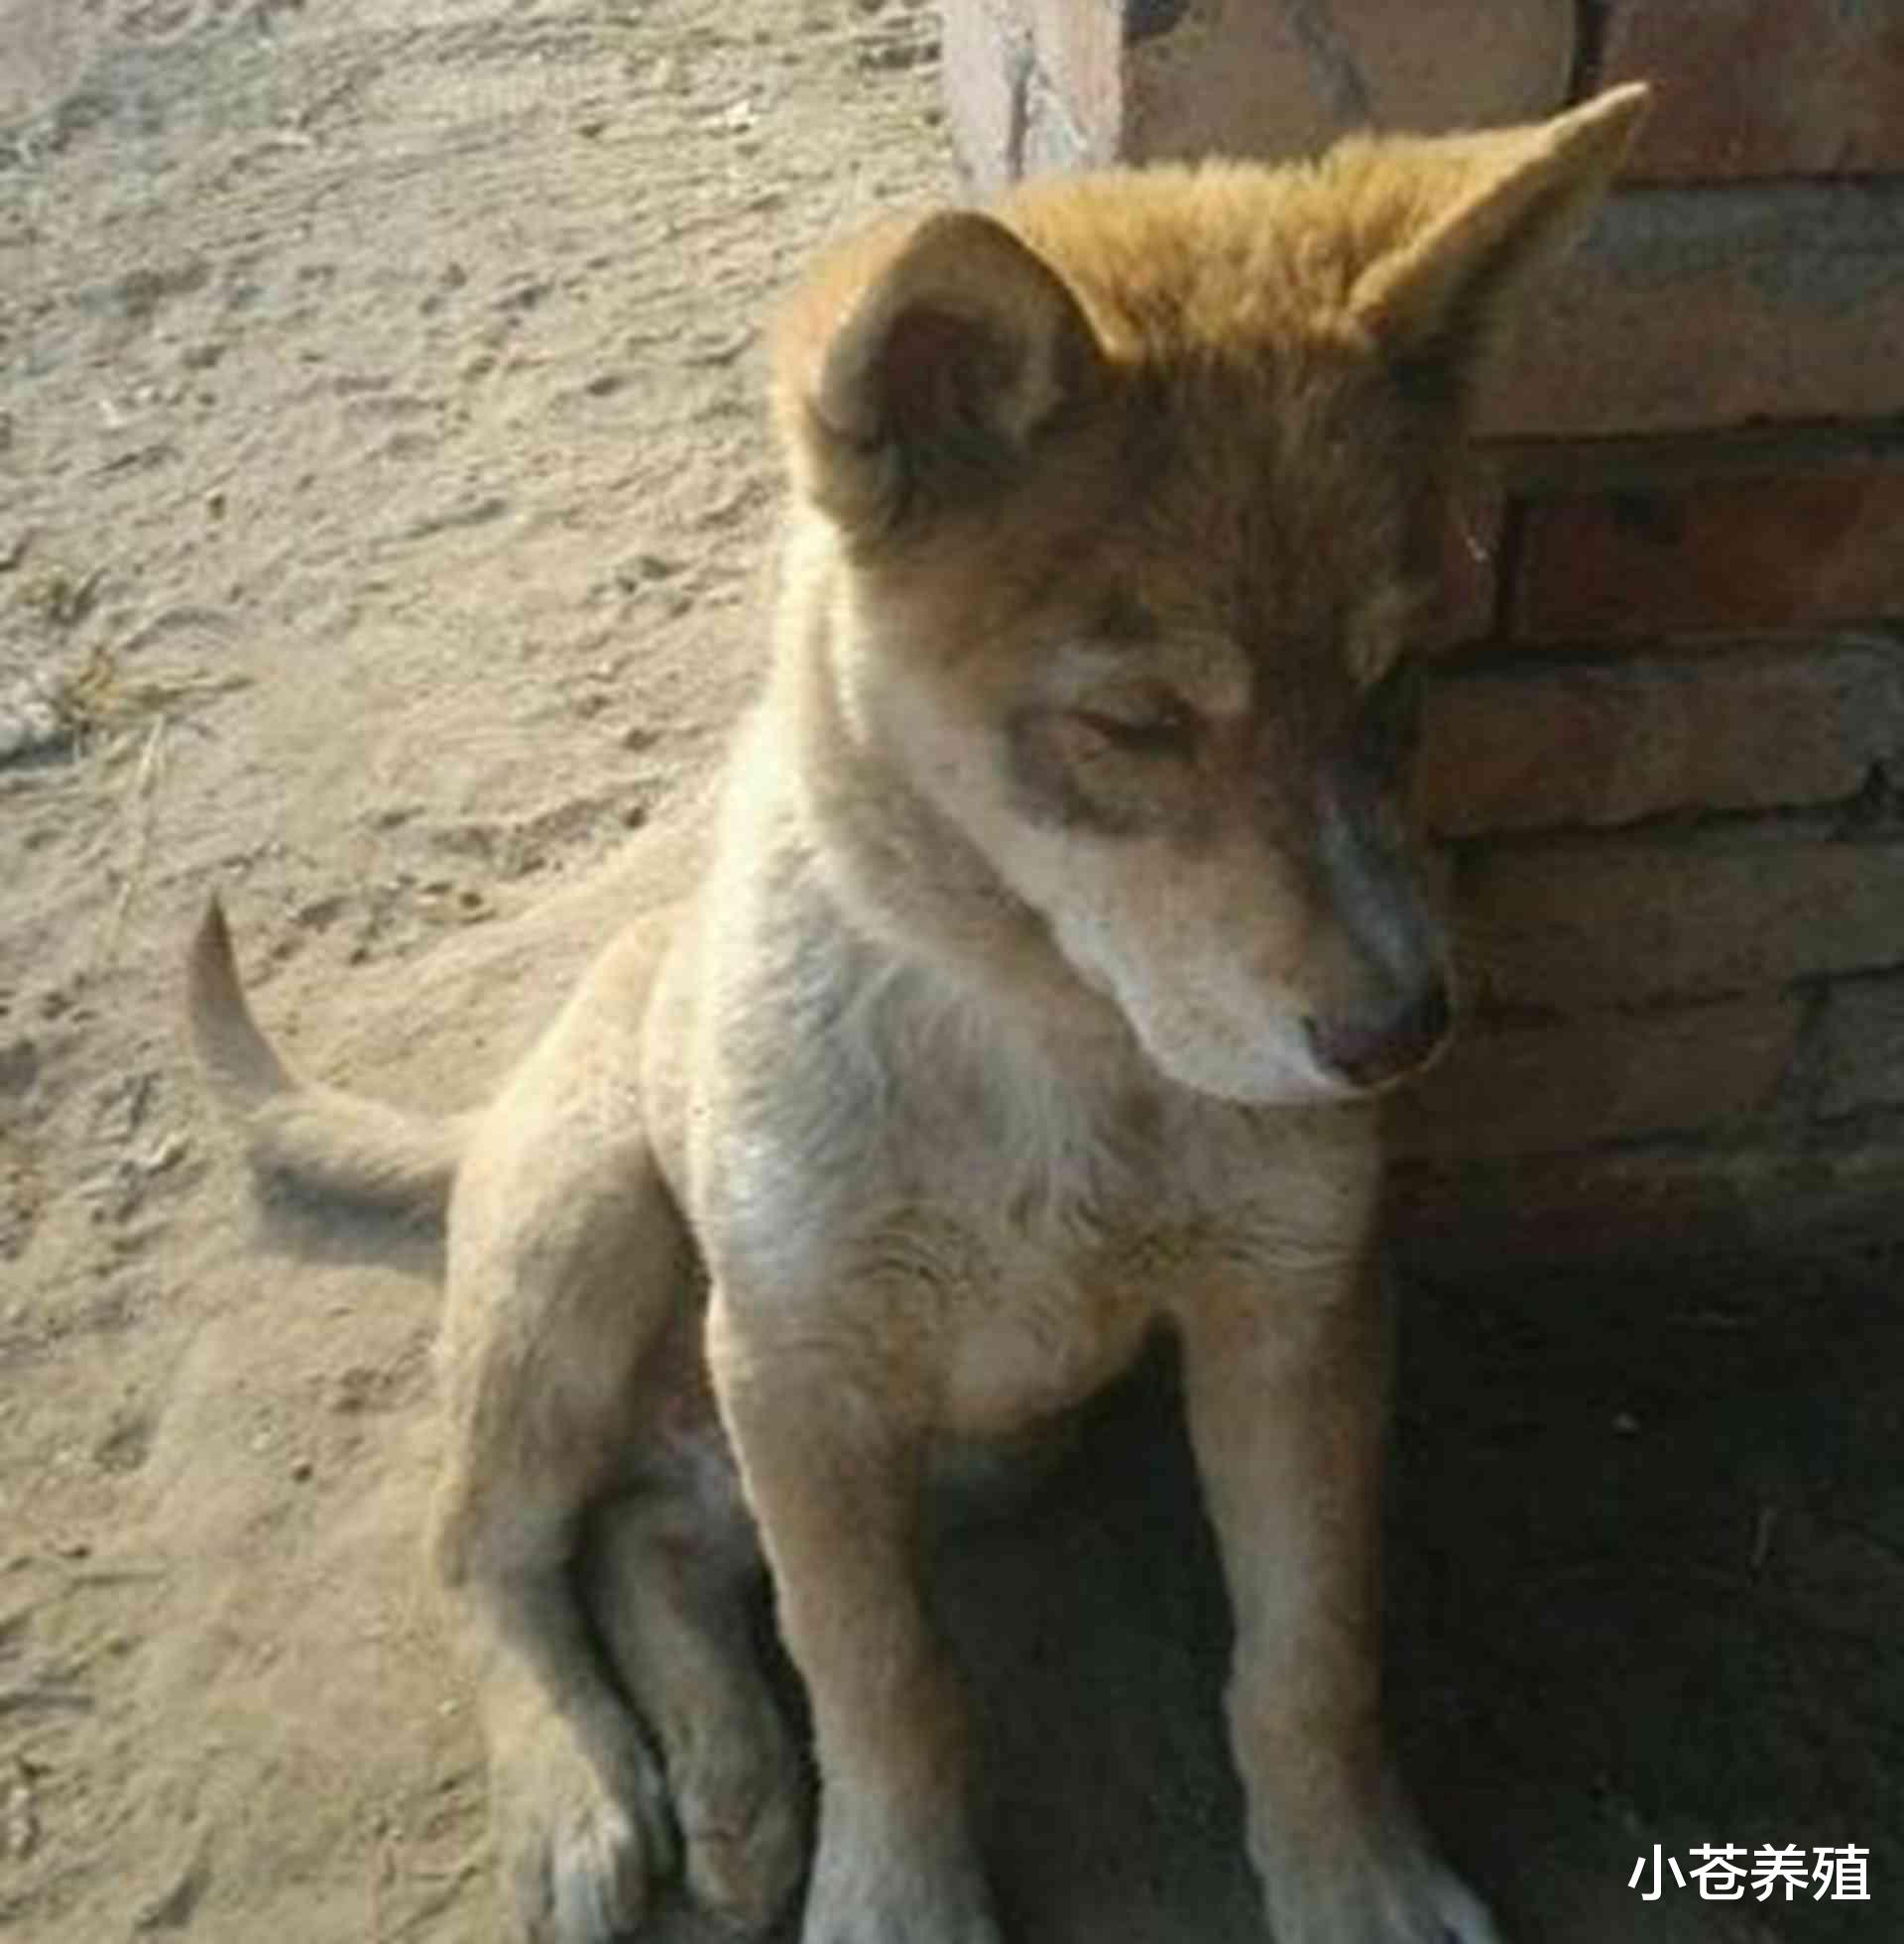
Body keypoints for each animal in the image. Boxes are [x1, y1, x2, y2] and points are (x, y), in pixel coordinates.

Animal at [191, 82, 1647, 1944]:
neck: (1060, 1056)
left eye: (1398, 683)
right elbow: (886, 1681)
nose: (1403, 1033)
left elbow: (1306, 1657)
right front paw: (899, 1900)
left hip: (949, 1445)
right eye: (1136, 725)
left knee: (647, 1534)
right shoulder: (807, 1368)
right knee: (492, 1550)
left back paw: (735, 1788)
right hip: (587, 1245)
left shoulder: (1295, 1309)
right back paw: (580, 1792)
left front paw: (1353, 1879)